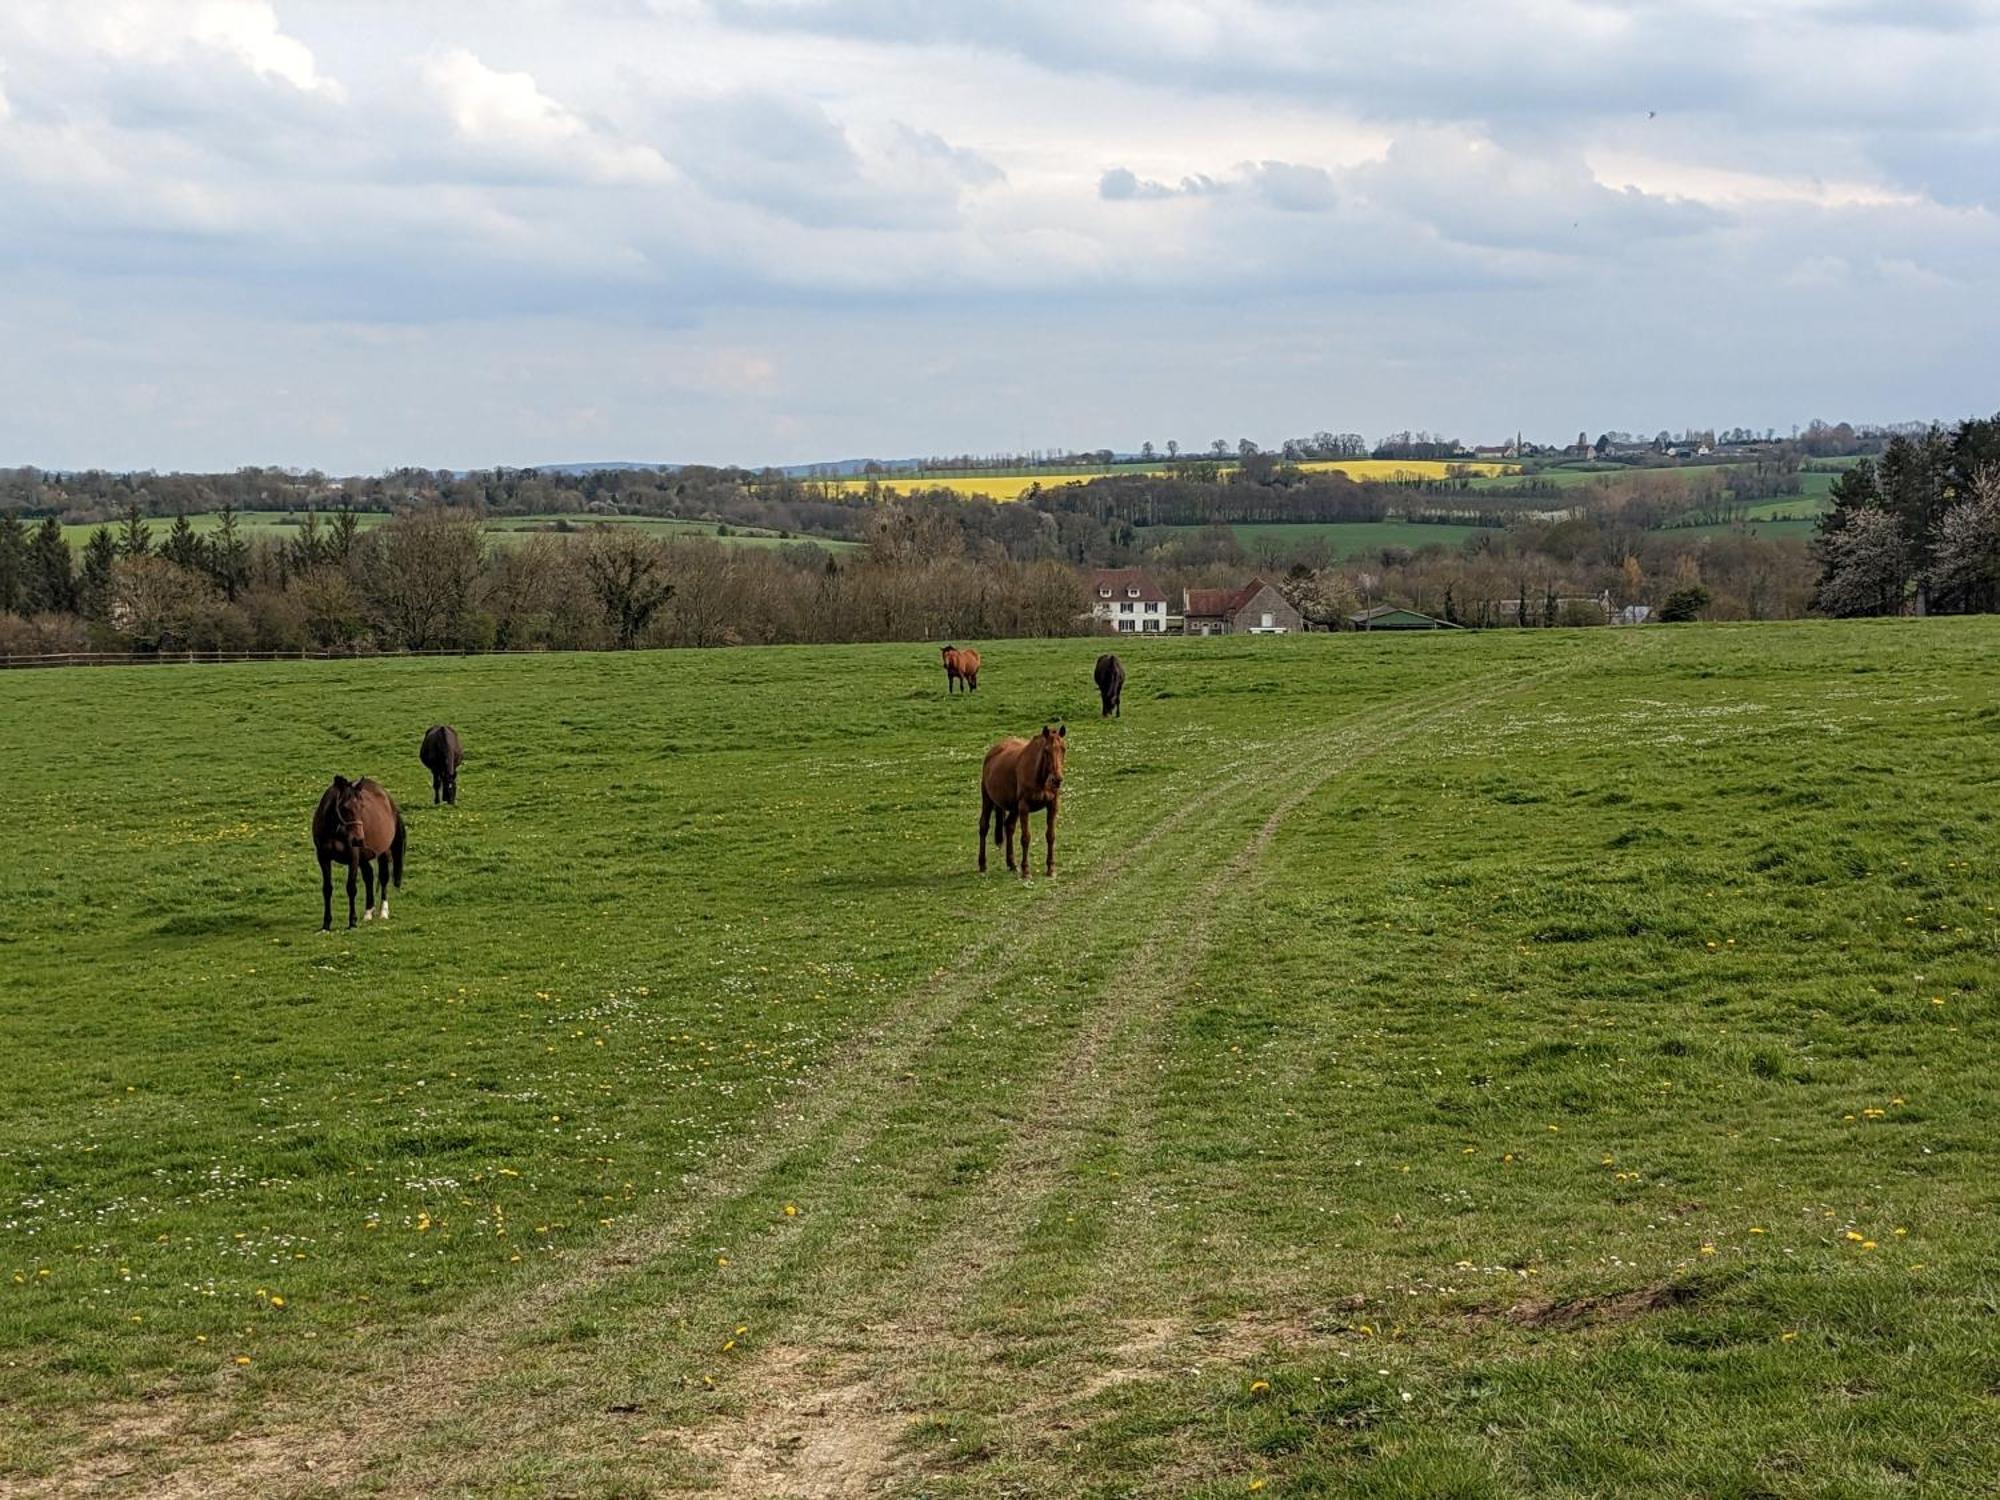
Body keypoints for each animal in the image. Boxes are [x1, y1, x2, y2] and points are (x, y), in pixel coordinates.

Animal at [310, 780, 404, 936]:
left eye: (362, 807)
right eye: (345, 808)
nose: (359, 839)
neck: (335, 829)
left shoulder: (353, 857)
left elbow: (351, 888)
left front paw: (352, 922)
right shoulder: (323, 858)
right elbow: (327, 889)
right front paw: (326, 924)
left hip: (383, 852)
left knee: (383, 877)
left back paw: (383, 912)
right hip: (364, 858)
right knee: (369, 876)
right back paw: (368, 912)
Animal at [980, 724, 1072, 880]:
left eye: (1063, 749)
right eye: (1046, 750)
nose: (1057, 779)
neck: (1040, 778)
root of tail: (992, 753)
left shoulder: (1053, 805)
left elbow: (1050, 836)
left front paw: (1051, 869)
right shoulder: (1024, 807)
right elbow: (1026, 838)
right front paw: (1026, 871)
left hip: (1013, 808)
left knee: (1009, 827)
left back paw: (1012, 864)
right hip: (988, 800)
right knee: (983, 827)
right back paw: (982, 865)